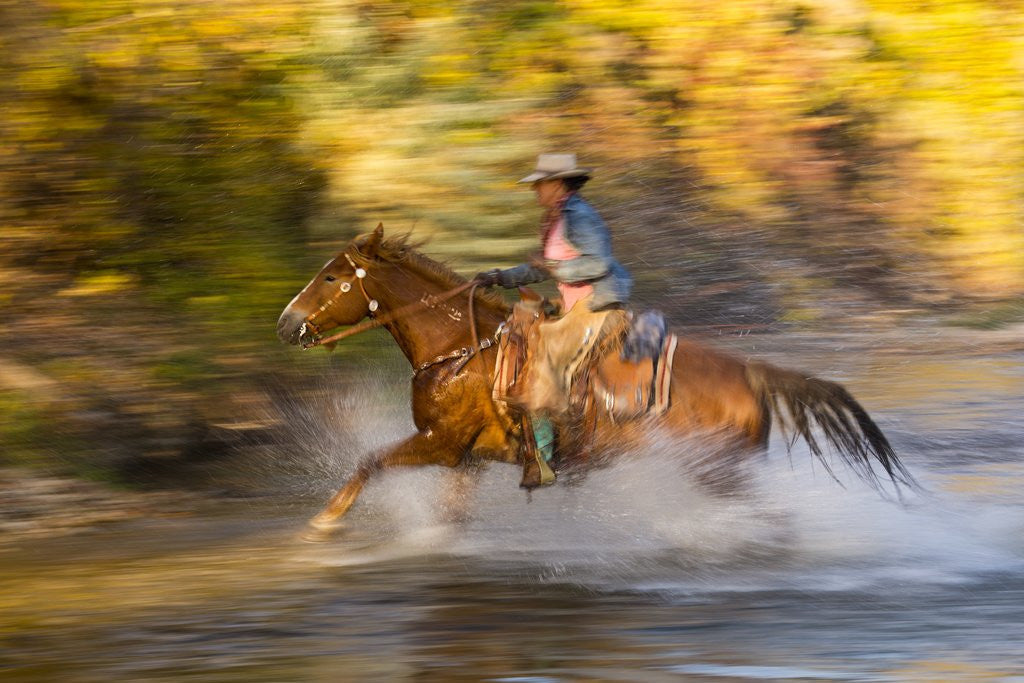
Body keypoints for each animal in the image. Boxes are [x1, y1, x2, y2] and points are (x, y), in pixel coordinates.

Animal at [276, 224, 916, 534]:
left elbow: (369, 462)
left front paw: (322, 526)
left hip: (718, 472)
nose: (286, 322)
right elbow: (446, 517)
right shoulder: (467, 459)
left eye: (331, 276)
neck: (459, 350)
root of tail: (751, 374)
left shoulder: (441, 444)